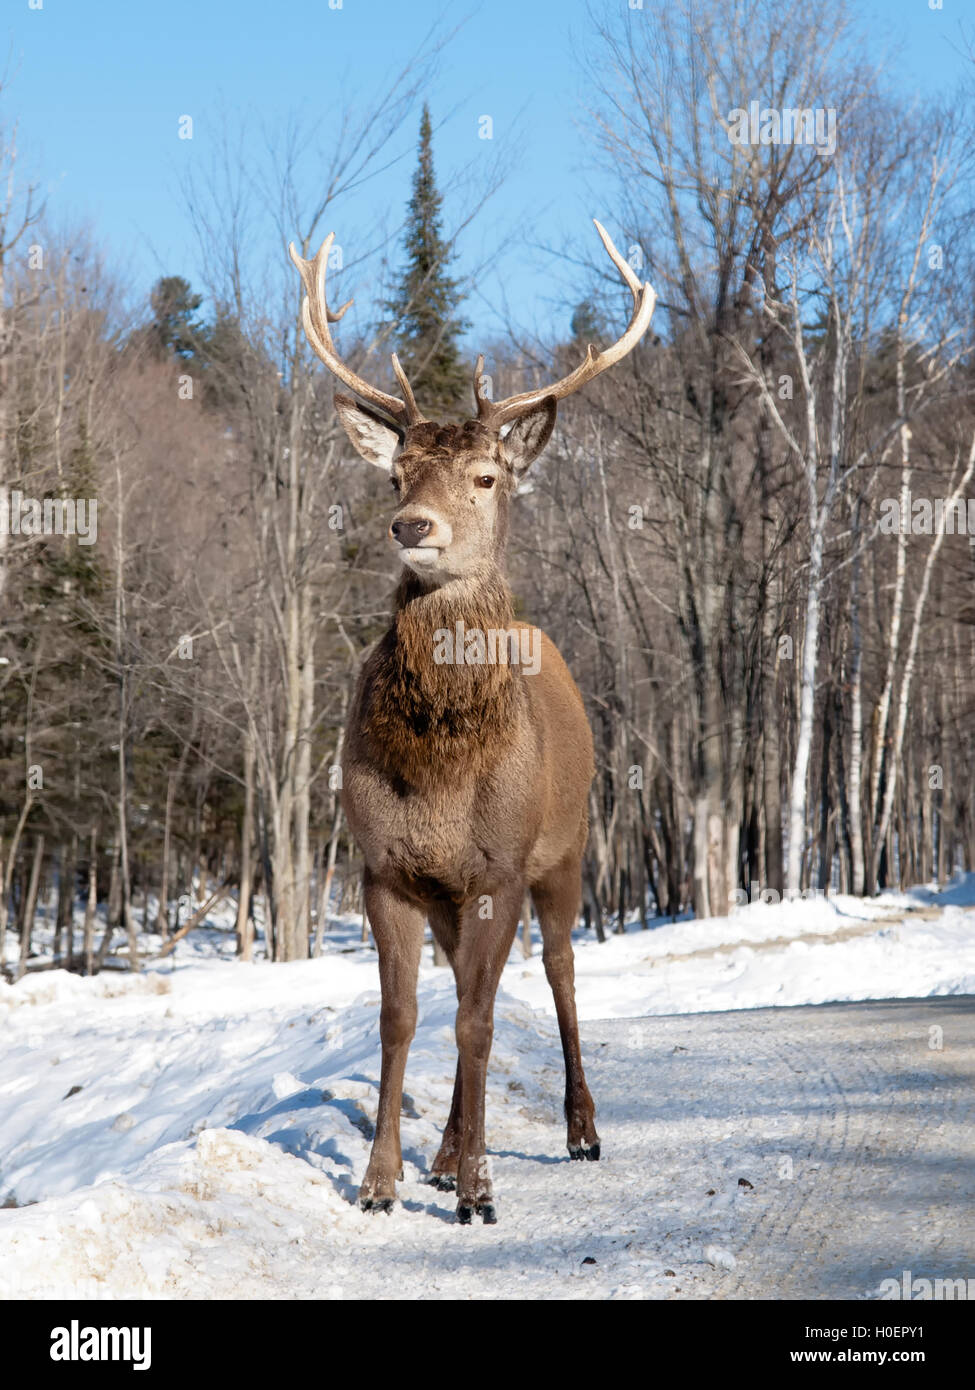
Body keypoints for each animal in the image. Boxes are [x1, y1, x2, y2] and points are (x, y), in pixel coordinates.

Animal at [286, 211, 653, 1223]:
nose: (412, 525)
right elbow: (404, 1018)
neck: (442, 772)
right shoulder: (387, 869)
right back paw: (447, 1153)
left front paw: (483, 1191)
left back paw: (578, 1131)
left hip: (565, 850)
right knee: (463, 990)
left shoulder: (496, 867)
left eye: (486, 477)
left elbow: (483, 1023)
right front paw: (381, 1182)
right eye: (397, 473)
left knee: (558, 972)